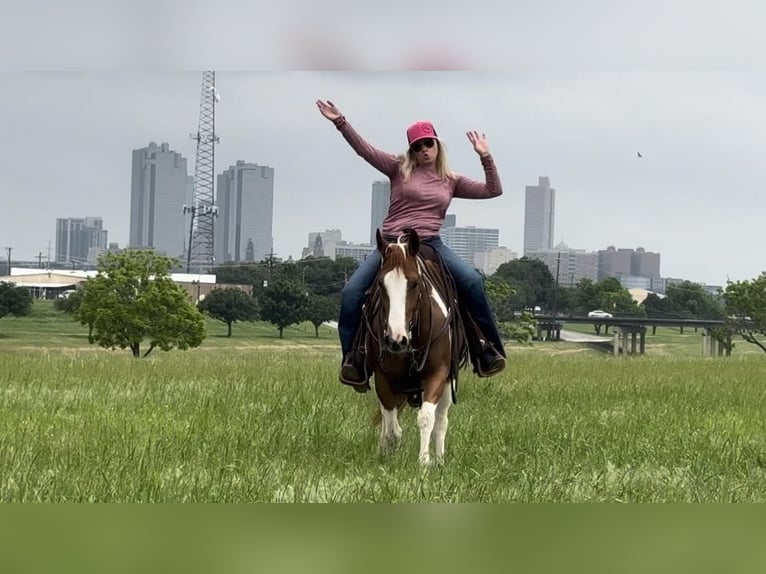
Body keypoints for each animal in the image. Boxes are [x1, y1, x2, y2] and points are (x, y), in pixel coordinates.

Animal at [364, 227, 472, 466]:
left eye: (414, 283)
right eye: (380, 284)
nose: (395, 340)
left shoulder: (438, 373)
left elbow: (426, 418)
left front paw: (423, 462)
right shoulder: (383, 378)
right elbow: (391, 428)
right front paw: (387, 457)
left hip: (448, 383)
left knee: (441, 421)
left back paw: (439, 460)